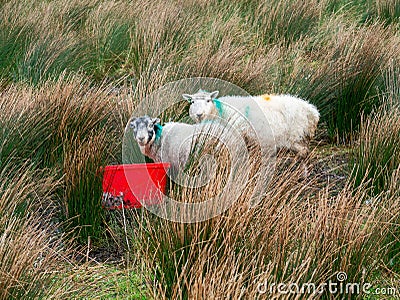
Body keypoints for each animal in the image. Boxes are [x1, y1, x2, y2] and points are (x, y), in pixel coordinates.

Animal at [183, 90, 320, 158]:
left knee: (303, 151)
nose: (199, 114)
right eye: (192, 102)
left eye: (208, 100)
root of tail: (311, 110)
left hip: (294, 136)